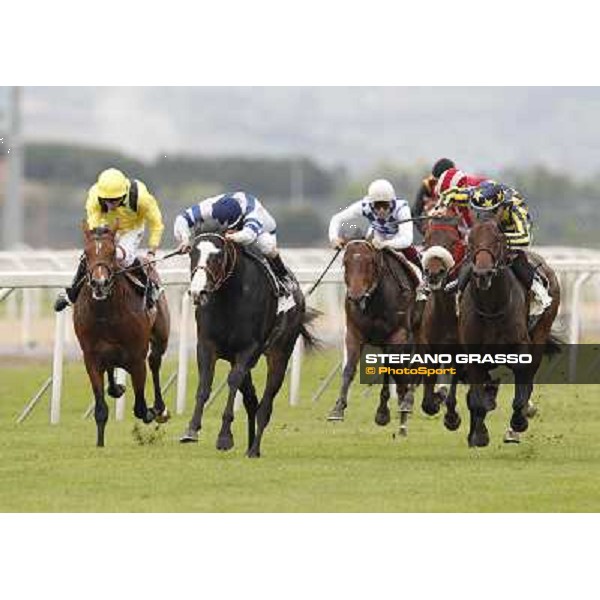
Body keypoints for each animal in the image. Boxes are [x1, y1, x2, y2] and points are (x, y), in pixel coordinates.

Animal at [74, 221, 170, 446]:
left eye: (112, 253)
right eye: (86, 254)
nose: (99, 283)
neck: (104, 313)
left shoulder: (136, 358)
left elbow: (140, 408)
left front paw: (152, 412)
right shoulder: (91, 358)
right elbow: (101, 409)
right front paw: (100, 444)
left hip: (160, 338)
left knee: (155, 362)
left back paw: (160, 408)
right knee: (112, 370)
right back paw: (117, 388)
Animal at [179, 232, 316, 458]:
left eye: (218, 257)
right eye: (192, 253)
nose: (198, 292)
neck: (228, 298)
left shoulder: (249, 349)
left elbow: (233, 381)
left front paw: (224, 437)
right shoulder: (207, 345)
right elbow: (205, 384)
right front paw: (191, 429)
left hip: (279, 353)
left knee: (265, 406)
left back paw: (254, 448)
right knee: (251, 400)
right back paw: (251, 444)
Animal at [326, 239, 420, 436]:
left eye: (370, 263)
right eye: (345, 262)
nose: (355, 295)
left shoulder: (398, 336)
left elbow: (397, 372)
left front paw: (401, 408)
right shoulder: (354, 332)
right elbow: (349, 369)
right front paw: (338, 409)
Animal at [460, 214, 564, 446]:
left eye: (498, 240)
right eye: (470, 241)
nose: (482, 273)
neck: (492, 307)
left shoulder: (521, 348)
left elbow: (520, 392)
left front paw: (518, 422)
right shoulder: (472, 353)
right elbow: (477, 397)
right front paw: (479, 434)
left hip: (541, 333)